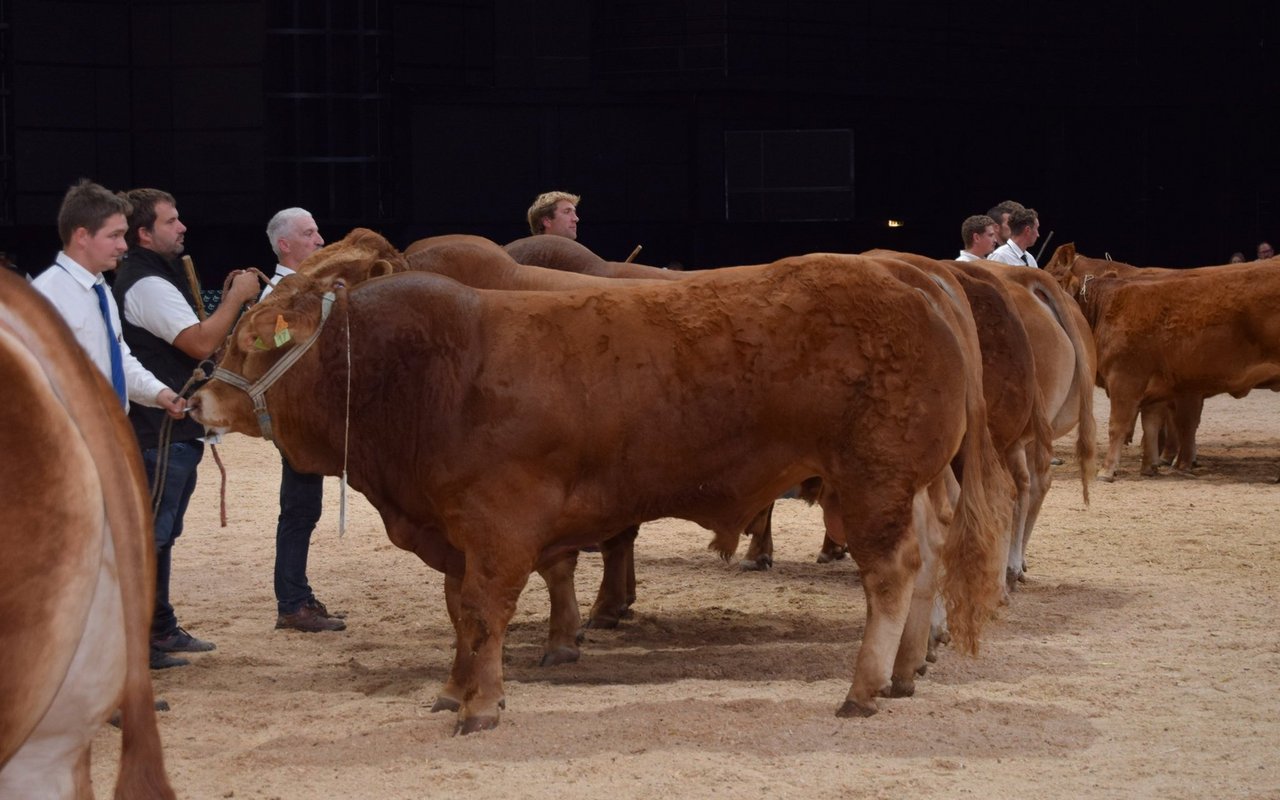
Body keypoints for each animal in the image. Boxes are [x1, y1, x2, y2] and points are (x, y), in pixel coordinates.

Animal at [190, 253, 1013, 733]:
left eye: (250, 341)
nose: (197, 399)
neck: (428, 375)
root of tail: (909, 277)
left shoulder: (498, 526)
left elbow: (484, 613)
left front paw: (480, 704)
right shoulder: (455, 533)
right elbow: (461, 615)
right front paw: (455, 688)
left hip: (872, 479)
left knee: (891, 573)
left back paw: (864, 686)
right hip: (907, 480)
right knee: (927, 556)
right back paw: (903, 671)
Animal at [1046, 246, 1280, 480]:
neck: (1104, 308)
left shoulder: (1125, 378)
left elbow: (1119, 425)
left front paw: (1107, 469)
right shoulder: (1155, 386)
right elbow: (1152, 425)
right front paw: (1150, 465)